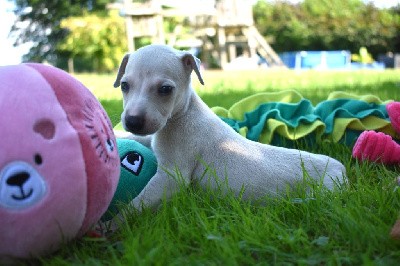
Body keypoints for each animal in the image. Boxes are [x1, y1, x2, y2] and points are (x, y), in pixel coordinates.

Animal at [113, 44, 346, 211]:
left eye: (165, 89)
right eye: (124, 85)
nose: (133, 121)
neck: (184, 112)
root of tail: (342, 169)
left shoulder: (171, 176)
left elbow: (136, 204)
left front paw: (111, 226)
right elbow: (138, 138)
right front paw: (116, 133)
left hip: (323, 190)